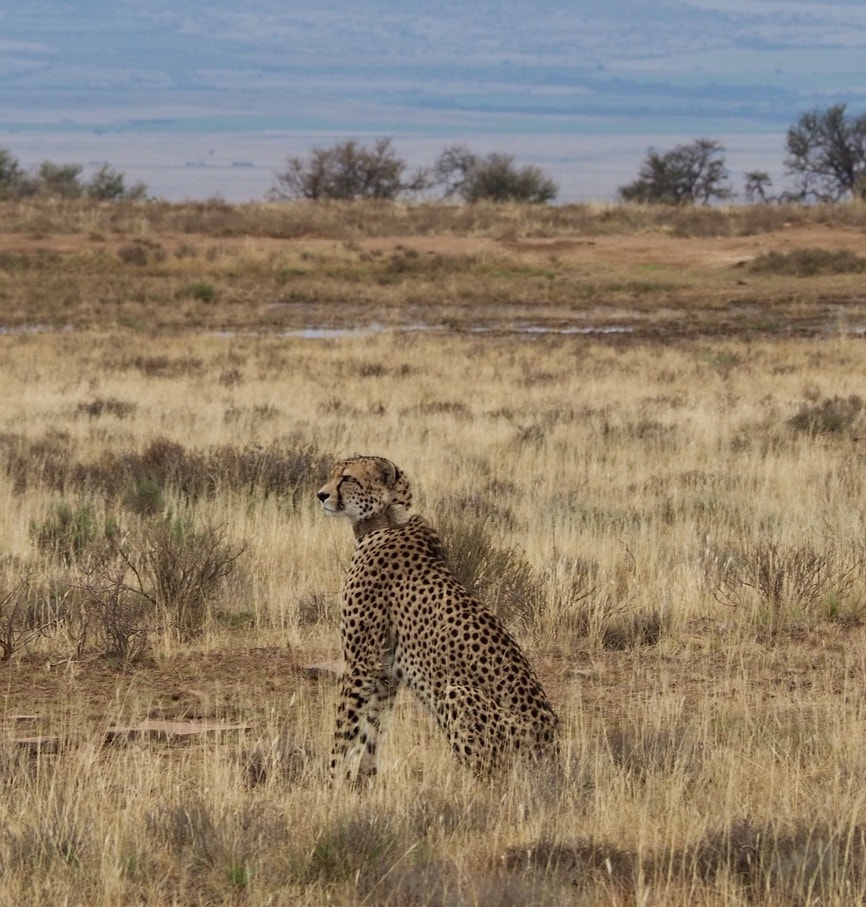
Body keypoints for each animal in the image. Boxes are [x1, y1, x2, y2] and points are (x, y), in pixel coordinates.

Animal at [316, 458, 552, 784]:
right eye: (332, 474)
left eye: (347, 478)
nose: (321, 495)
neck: (385, 522)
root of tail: (552, 746)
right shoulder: (385, 672)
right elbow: (372, 731)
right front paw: (364, 781)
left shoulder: (360, 662)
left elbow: (344, 730)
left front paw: (330, 782)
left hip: (456, 693)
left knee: (491, 775)